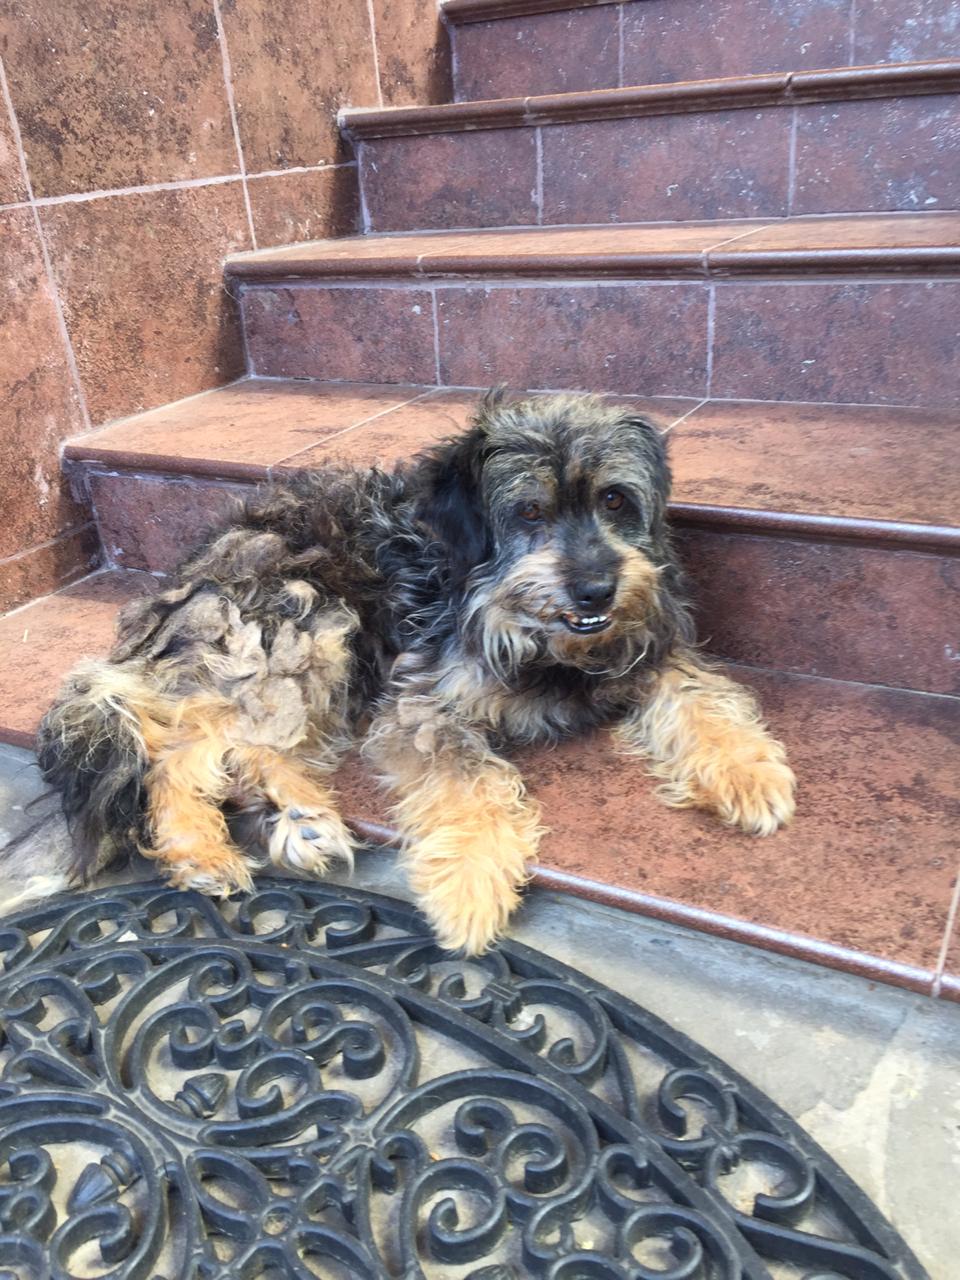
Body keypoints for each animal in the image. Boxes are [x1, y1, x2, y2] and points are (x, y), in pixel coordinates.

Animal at [36, 390, 795, 953]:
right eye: (528, 511)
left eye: (614, 500)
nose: (597, 591)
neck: (533, 636)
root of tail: (187, 581)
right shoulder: (422, 701)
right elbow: (472, 782)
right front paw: (472, 886)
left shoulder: (649, 647)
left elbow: (699, 695)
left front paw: (747, 771)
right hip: (309, 624)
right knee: (182, 744)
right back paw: (202, 849)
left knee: (242, 745)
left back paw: (302, 816)